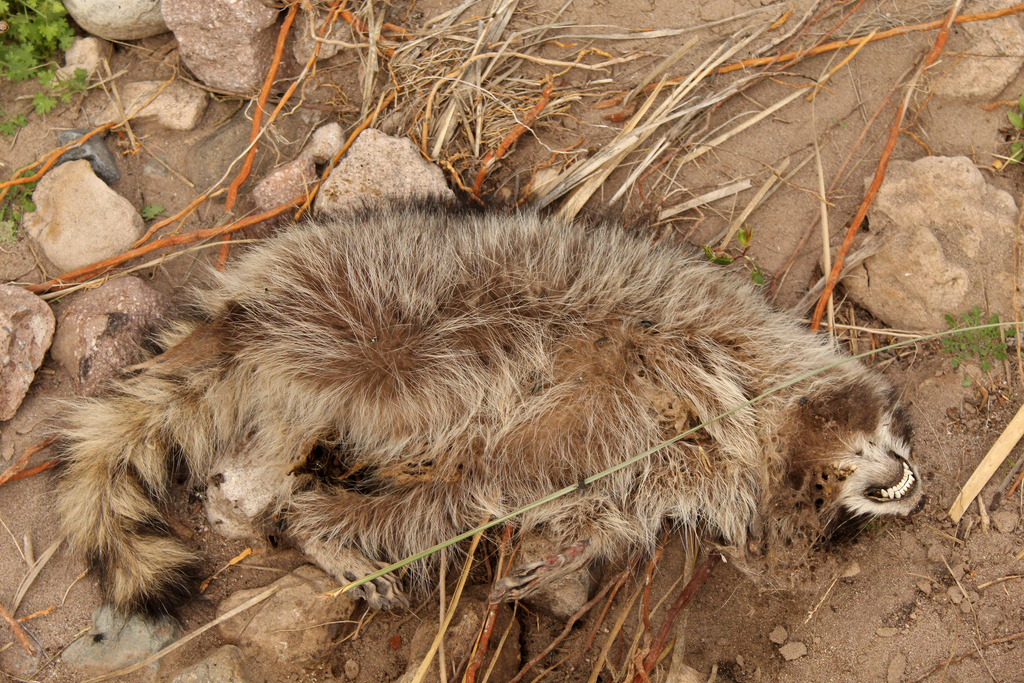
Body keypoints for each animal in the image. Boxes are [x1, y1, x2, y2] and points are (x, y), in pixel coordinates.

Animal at [54, 202, 922, 616]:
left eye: (834, 511)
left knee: (394, 509)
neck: (766, 442)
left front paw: (566, 550)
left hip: (424, 467)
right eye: (874, 438)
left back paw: (312, 520)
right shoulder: (693, 318)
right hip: (373, 291)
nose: (909, 477)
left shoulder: (655, 472)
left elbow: (595, 509)